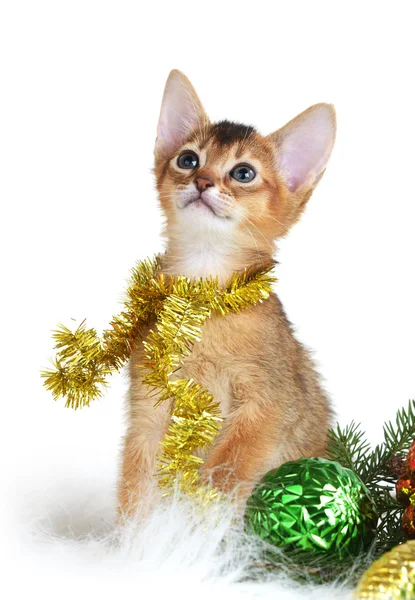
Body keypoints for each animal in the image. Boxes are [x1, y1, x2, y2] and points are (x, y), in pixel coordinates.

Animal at [118, 67, 338, 516]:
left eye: (243, 173)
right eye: (188, 159)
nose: (202, 181)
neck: (203, 304)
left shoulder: (267, 402)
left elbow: (226, 471)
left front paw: (202, 524)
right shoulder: (148, 404)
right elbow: (136, 482)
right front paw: (138, 535)